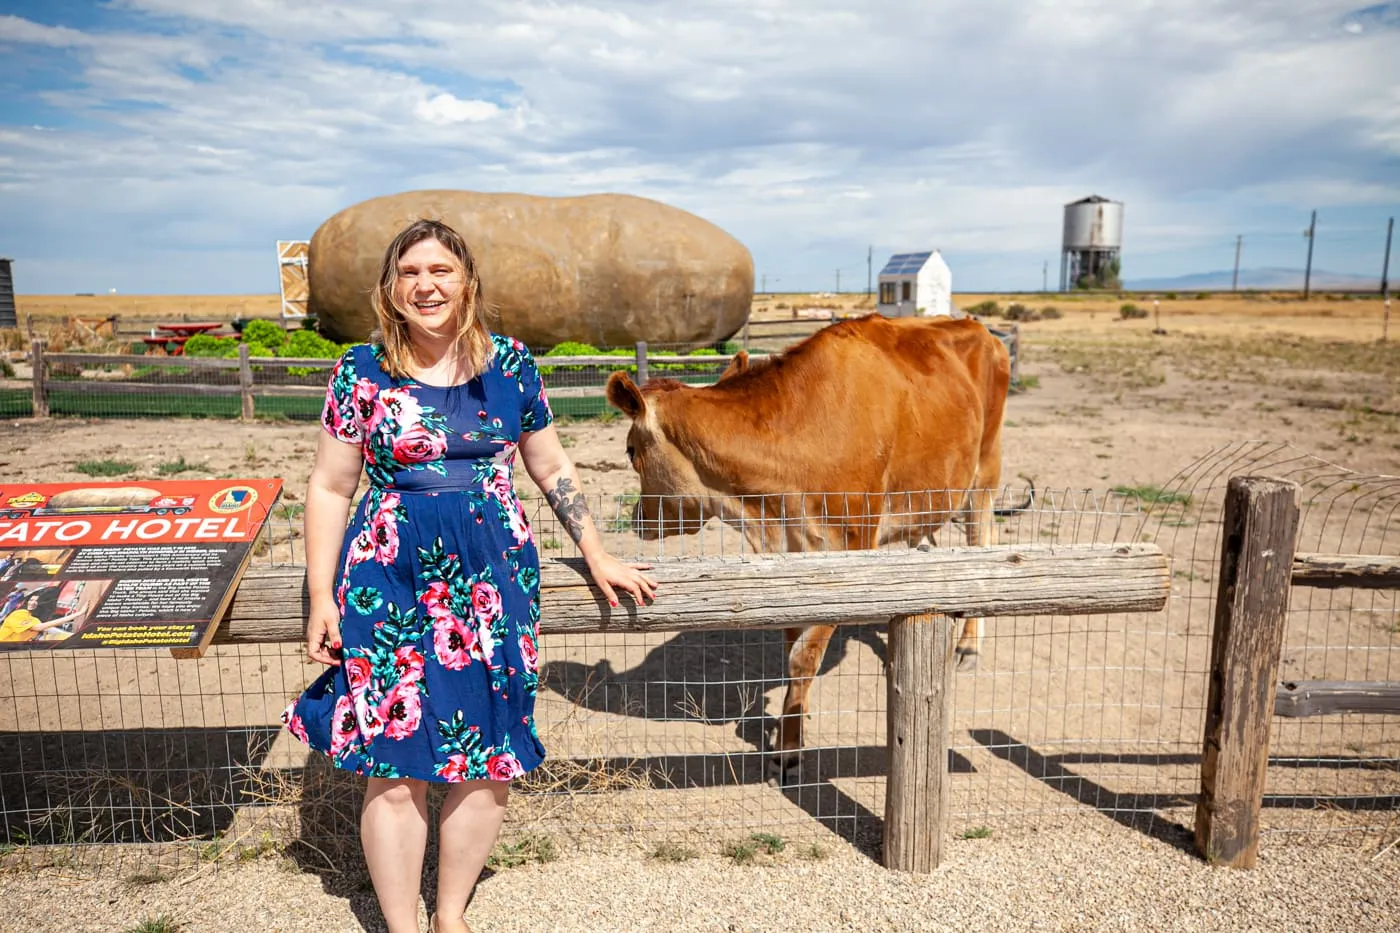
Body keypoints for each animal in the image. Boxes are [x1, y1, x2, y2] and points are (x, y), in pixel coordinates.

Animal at [607, 312, 1013, 767]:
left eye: (630, 450)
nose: (639, 518)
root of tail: (974, 325)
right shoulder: (793, 556)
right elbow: (791, 643)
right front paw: (795, 723)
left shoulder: (849, 549)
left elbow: (804, 655)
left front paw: (787, 747)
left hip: (985, 470)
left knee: (981, 540)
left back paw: (968, 646)